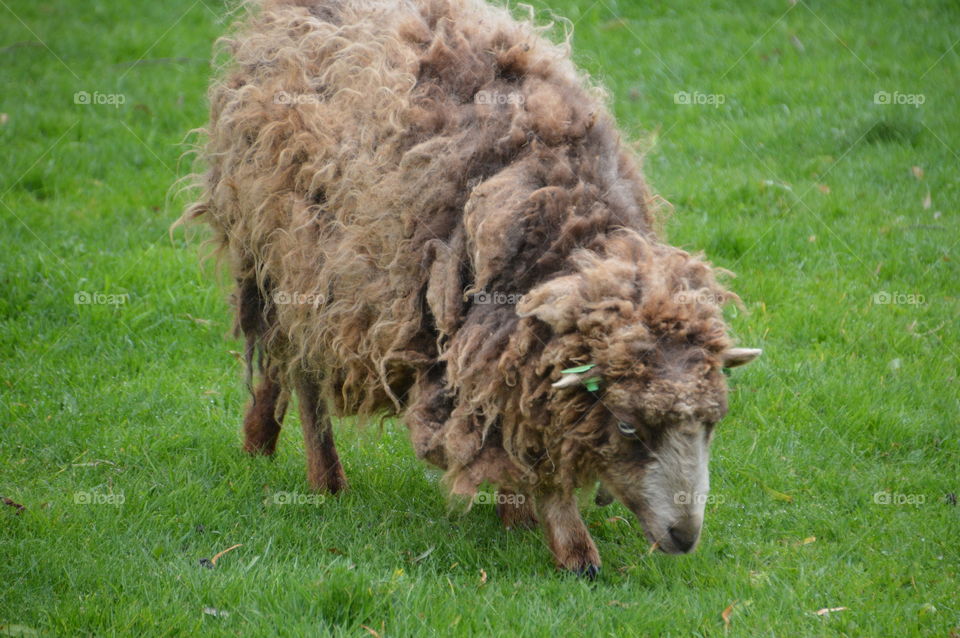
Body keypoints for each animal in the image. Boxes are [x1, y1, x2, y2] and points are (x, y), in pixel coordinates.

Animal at [181, 0, 761, 577]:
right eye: (626, 427)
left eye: (712, 423)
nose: (684, 537)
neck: (565, 219)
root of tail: (284, 12)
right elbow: (525, 443)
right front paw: (572, 548)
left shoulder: (500, 349)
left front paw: (519, 516)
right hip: (289, 254)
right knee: (301, 369)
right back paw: (325, 479)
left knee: (279, 359)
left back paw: (259, 440)